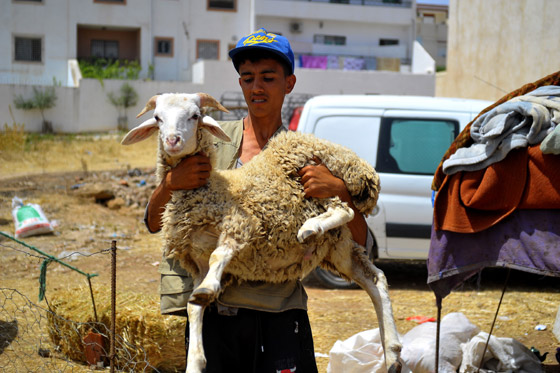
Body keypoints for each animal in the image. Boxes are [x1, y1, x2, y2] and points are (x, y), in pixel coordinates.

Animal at [122, 92, 402, 372]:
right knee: (375, 279)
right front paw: (195, 360)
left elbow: (218, 257)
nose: (172, 141)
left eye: (195, 115)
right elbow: (193, 307)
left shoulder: (240, 225)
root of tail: (356, 161)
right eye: (157, 118)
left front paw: (209, 287)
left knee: (345, 209)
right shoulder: (197, 260)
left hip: (316, 182)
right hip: (338, 247)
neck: (212, 188)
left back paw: (310, 228)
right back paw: (392, 353)